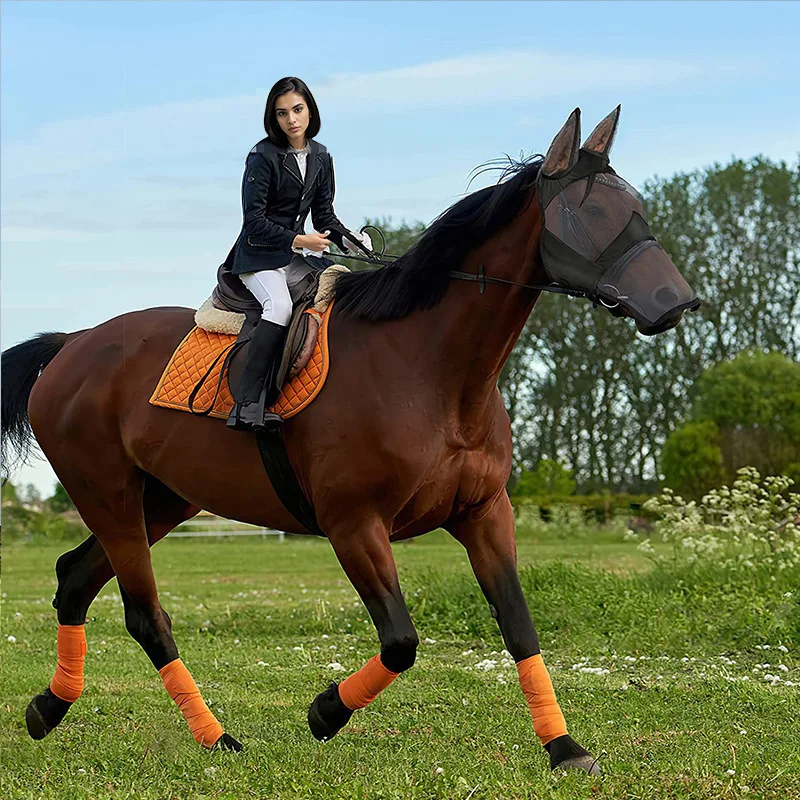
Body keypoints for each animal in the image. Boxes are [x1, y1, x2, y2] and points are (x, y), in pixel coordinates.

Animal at [1, 107, 699, 775]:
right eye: (589, 214)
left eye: (637, 205)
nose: (679, 303)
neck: (431, 370)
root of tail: (73, 344)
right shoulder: (354, 524)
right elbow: (401, 641)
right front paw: (324, 712)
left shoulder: (484, 513)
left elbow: (519, 626)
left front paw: (564, 748)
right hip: (112, 497)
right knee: (145, 614)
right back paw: (216, 737)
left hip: (163, 500)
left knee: (75, 578)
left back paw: (48, 709)